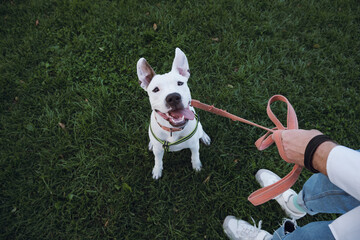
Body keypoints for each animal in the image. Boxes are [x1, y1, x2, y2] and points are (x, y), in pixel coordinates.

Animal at [137, 47, 211, 179]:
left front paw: (197, 166)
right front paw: (157, 170)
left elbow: (195, 156)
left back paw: (205, 137)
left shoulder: (194, 145)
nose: (173, 97)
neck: (173, 130)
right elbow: (158, 160)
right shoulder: (158, 151)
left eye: (180, 83)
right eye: (155, 89)